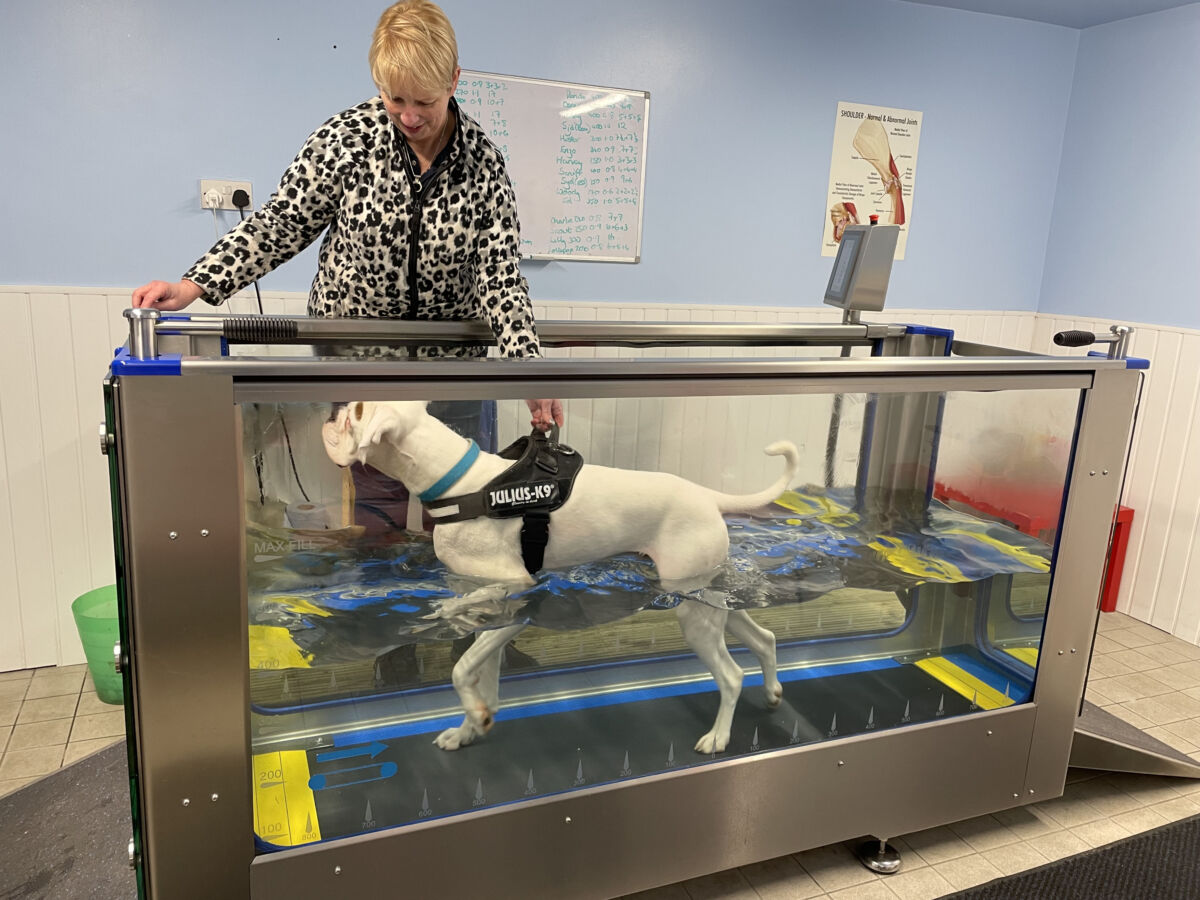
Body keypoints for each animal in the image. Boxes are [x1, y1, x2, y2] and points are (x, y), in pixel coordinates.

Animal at [324, 400, 801, 753]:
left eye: (356, 411)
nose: (332, 412)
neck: (462, 486)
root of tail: (708, 495)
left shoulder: (515, 600)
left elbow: (460, 668)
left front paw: (473, 711)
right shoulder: (495, 621)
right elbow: (482, 674)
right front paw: (471, 727)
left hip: (694, 613)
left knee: (731, 676)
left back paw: (718, 736)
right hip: (709, 600)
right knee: (764, 639)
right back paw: (774, 692)